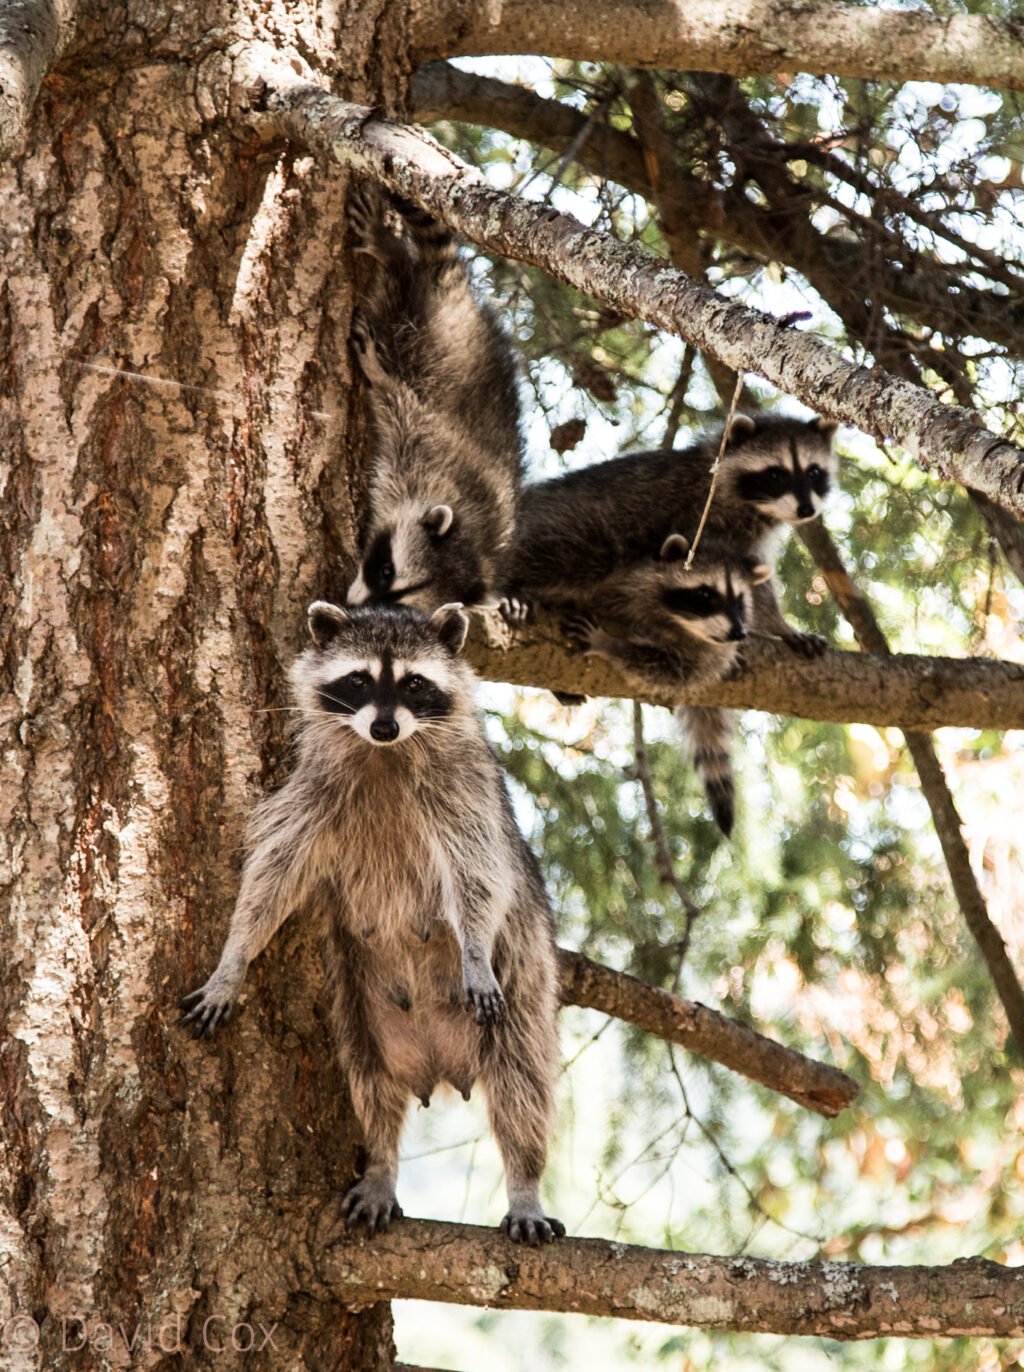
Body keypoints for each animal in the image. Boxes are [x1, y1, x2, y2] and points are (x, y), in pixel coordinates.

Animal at [179, 606, 562, 1251]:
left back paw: (525, 1182)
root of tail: (438, 1065)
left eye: (414, 683)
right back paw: (381, 1162)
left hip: (525, 986)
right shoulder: (310, 791)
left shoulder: (468, 792)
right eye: (358, 679)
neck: (384, 754)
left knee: (522, 1083)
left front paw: (474, 950)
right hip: (357, 1004)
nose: (384, 726)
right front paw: (235, 958)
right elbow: (270, 878)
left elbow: (480, 875)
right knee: (369, 1085)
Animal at [344, 185, 521, 614]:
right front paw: (378, 374)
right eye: (385, 570)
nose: (353, 605)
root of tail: (457, 300)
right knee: (399, 284)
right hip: (426, 327)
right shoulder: (423, 445)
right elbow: (397, 401)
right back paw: (390, 249)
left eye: (399, 602)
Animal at [507, 411, 834, 653]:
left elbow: (754, 582)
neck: (752, 507)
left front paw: (777, 626)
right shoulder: (701, 517)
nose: (806, 510)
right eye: (775, 474)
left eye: (814, 472)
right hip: (581, 527)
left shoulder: (746, 540)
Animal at [562, 532, 768, 834]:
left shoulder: (705, 659)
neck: (678, 623)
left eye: (740, 599)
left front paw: (609, 644)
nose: (739, 632)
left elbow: (664, 671)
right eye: (705, 594)